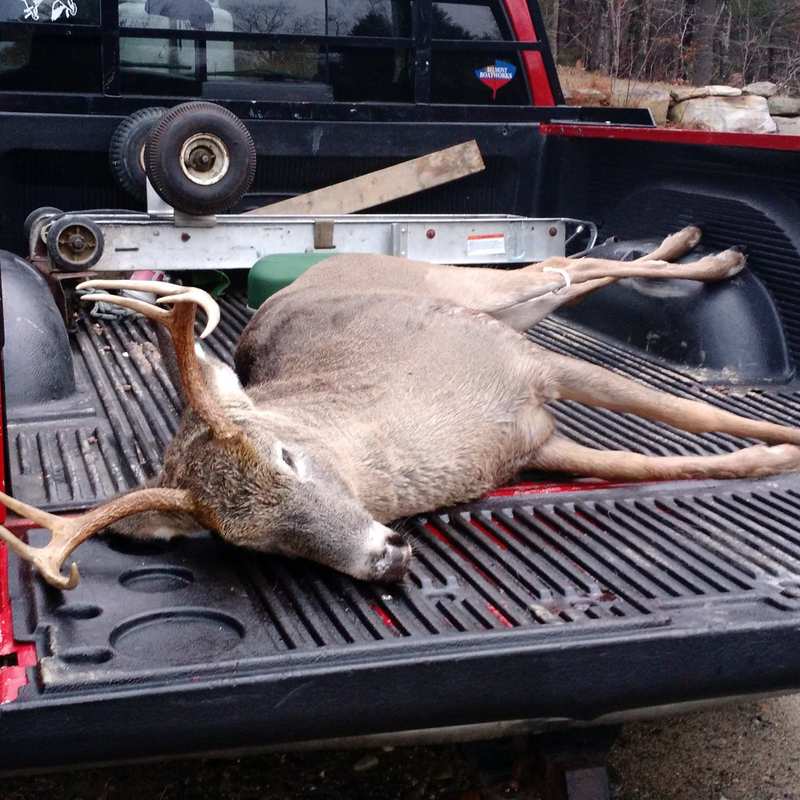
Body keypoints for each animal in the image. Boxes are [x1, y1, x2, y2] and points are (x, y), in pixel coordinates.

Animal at [3, 225, 800, 591]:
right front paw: (774, 455)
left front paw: (786, 439)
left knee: (566, 264)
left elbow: (702, 418)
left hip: (479, 301)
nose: (383, 558)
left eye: (287, 456)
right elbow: (658, 464)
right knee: (569, 277)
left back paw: (712, 255)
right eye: (244, 542)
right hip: (500, 312)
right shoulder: (533, 441)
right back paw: (695, 250)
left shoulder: (534, 367)